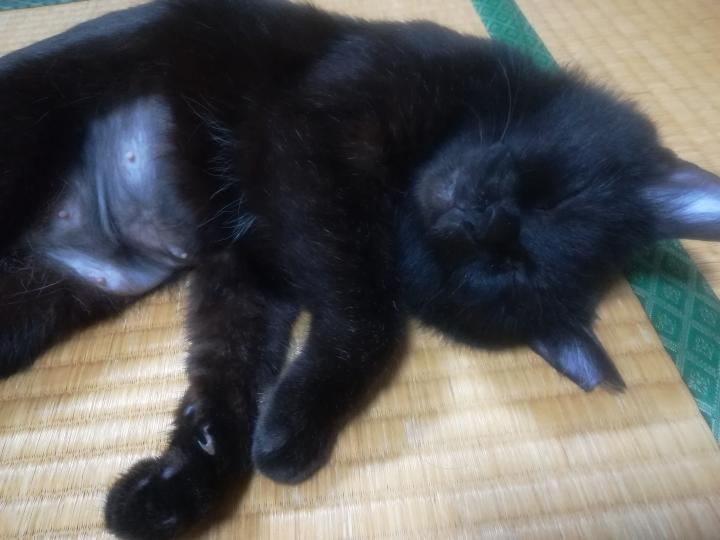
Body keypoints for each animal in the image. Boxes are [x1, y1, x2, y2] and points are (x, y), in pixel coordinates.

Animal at [1, 0, 719, 538]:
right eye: (553, 198)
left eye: (495, 268)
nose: (475, 218)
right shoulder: (310, 135)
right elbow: (375, 314)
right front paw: (284, 435)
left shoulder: (250, 269)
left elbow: (234, 367)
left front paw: (193, 476)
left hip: (36, 305)